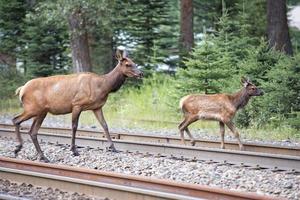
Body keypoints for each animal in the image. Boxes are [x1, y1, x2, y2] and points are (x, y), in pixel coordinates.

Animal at [12, 48, 143, 162]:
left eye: (135, 63)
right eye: (127, 64)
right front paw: (74, 150)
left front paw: (113, 148)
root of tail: (21, 90)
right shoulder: (77, 104)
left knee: (31, 131)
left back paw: (39, 155)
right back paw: (20, 148)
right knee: (16, 120)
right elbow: (74, 126)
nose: (141, 73)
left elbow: (105, 125)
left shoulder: (97, 107)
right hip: (33, 108)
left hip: (41, 111)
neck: (104, 87)